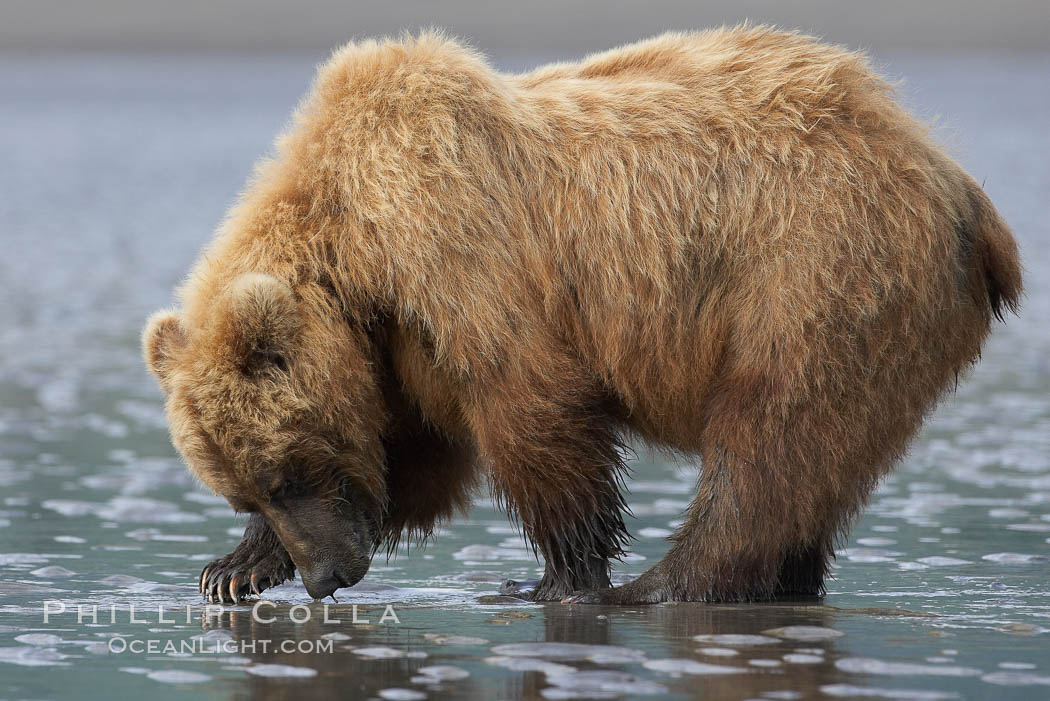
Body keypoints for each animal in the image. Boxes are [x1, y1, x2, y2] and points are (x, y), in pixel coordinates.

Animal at [139, 24, 1016, 600]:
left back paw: (669, 581)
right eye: (249, 489)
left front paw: (561, 577)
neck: (357, 252)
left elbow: (534, 411)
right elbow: (410, 451)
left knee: (772, 436)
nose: (327, 578)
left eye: (289, 470)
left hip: (815, 269)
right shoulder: (397, 345)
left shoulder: (459, 253)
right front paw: (232, 568)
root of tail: (954, 178)